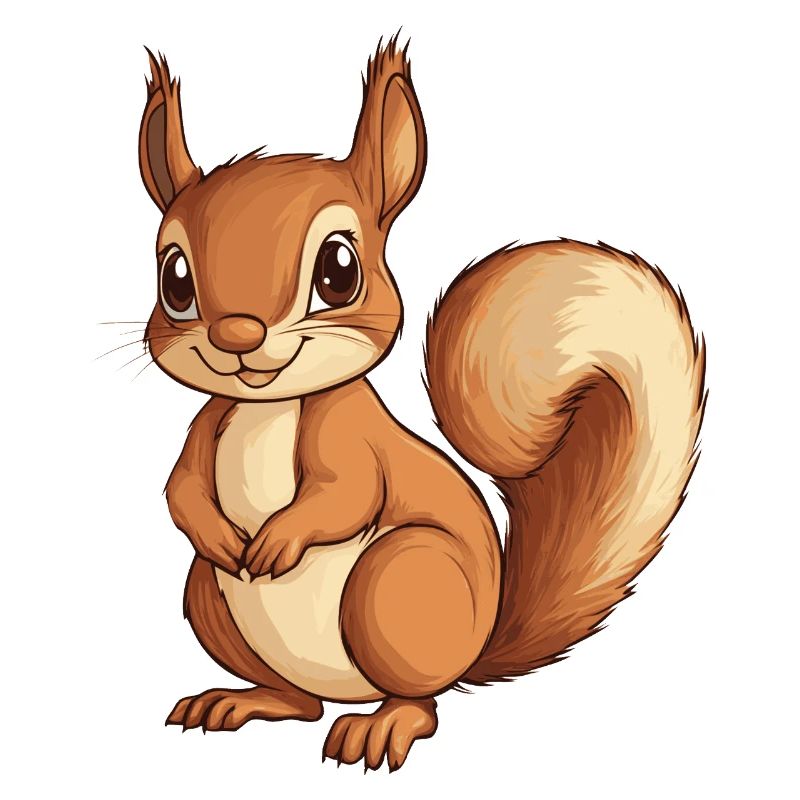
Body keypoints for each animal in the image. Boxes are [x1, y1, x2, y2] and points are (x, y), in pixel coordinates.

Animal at [137, 37, 706, 771]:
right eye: (173, 279)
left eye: (338, 271)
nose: (237, 337)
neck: (268, 409)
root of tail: (472, 653)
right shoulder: (207, 422)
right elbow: (179, 488)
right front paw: (216, 531)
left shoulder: (348, 434)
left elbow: (346, 494)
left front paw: (280, 540)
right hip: (207, 594)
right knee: (298, 699)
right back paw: (243, 700)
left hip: (398, 580)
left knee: (420, 700)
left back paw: (382, 726)